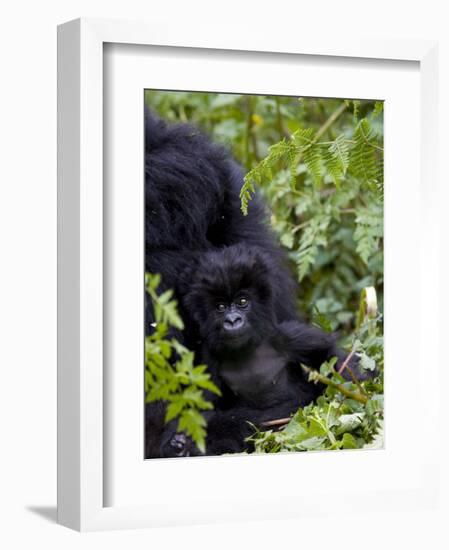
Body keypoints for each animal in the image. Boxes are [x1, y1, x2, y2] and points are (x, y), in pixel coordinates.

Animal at [161, 245, 360, 458]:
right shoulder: (207, 362)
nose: (233, 320)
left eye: (242, 301)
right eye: (221, 307)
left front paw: (352, 387)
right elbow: (200, 410)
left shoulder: (285, 337)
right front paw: (182, 441)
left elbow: (328, 354)